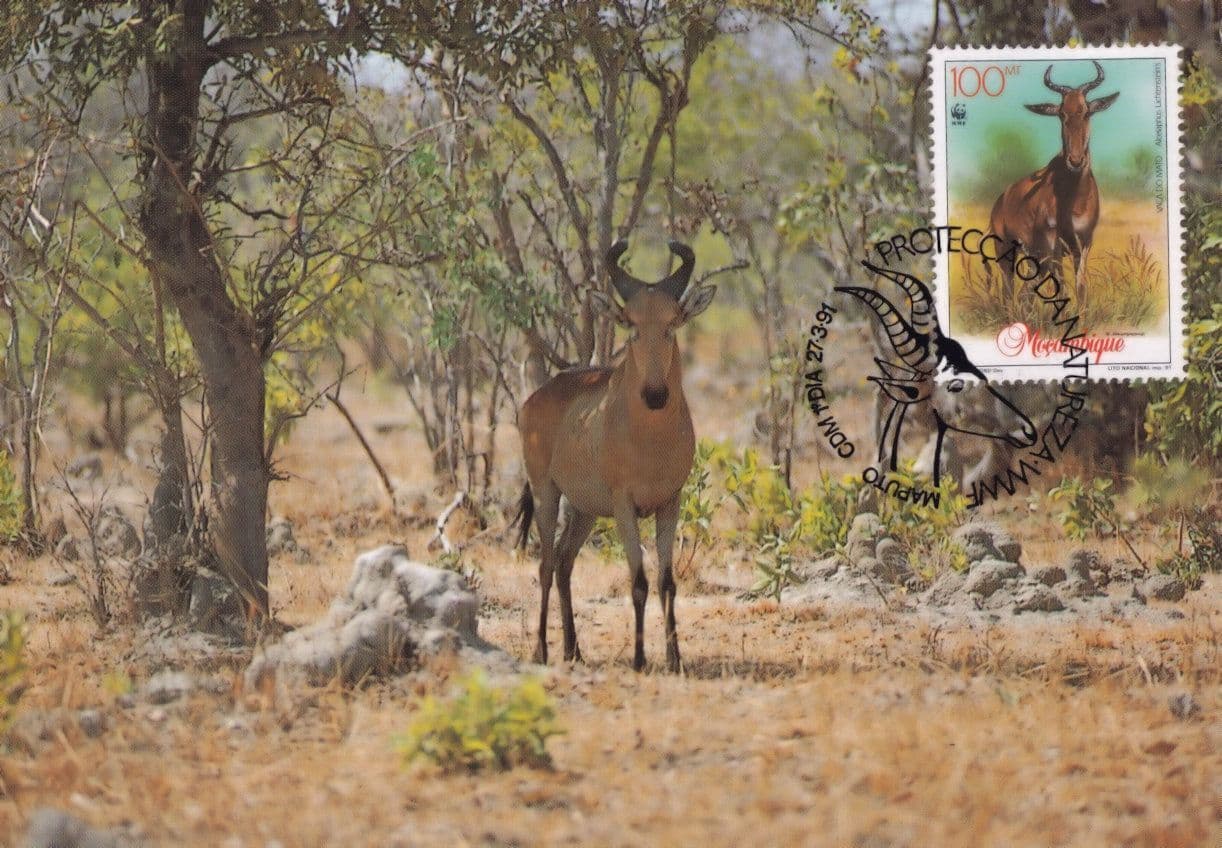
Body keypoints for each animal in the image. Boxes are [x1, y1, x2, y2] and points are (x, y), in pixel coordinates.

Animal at [514, 241, 715, 673]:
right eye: (631, 324)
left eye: (672, 323)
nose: (655, 395)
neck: (648, 439)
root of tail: (535, 398)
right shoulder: (625, 505)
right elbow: (637, 580)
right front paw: (639, 660)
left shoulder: (670, 503)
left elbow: (666, 581)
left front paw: (675, 659)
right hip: (545, 491)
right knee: (545, 564)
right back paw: (541, 651)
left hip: (584, 510)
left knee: (565, 562)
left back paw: (573, 649)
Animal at [989, 61, 1119, 309]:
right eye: (1061, 113)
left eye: (1086, 111)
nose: (1075, 161)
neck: (1073, 199)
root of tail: (1000, 199)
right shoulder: (1053, 246)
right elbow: (1062, 287)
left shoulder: (1084, 241)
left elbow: (1080, 286)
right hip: (1006, 251)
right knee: (1009, 290)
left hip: (1032, 255)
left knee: (1025, 292)